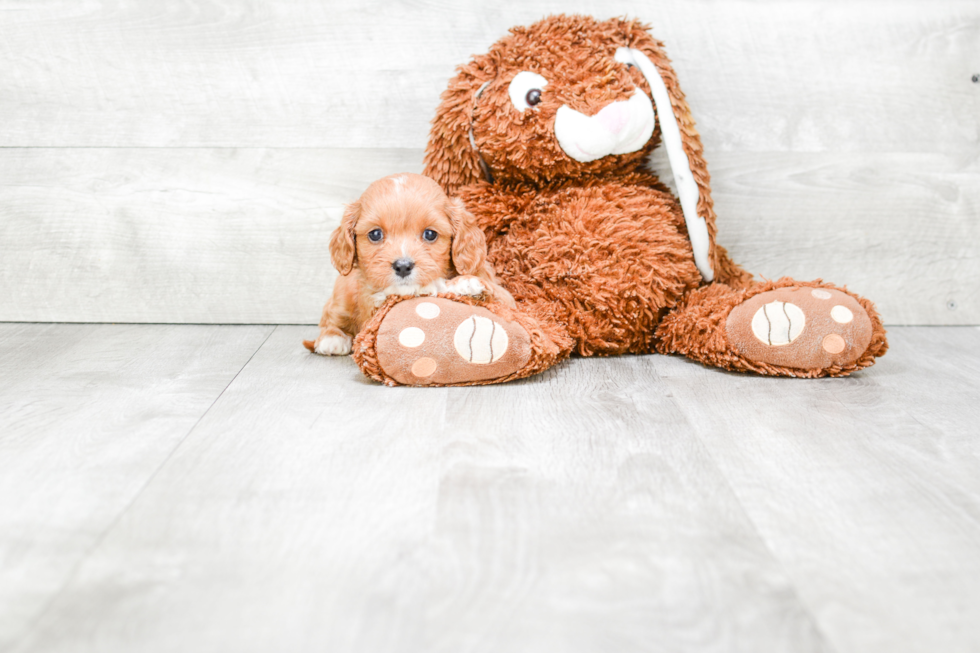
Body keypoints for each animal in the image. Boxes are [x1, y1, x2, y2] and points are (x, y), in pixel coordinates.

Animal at [304, 173, 512, 354]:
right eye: (375, 234)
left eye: (430, 234)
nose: (403, 266)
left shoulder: (509, 302)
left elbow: (498, 295)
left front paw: (466, 283)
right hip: (342, 292)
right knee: (331, 317)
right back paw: (332, 339)